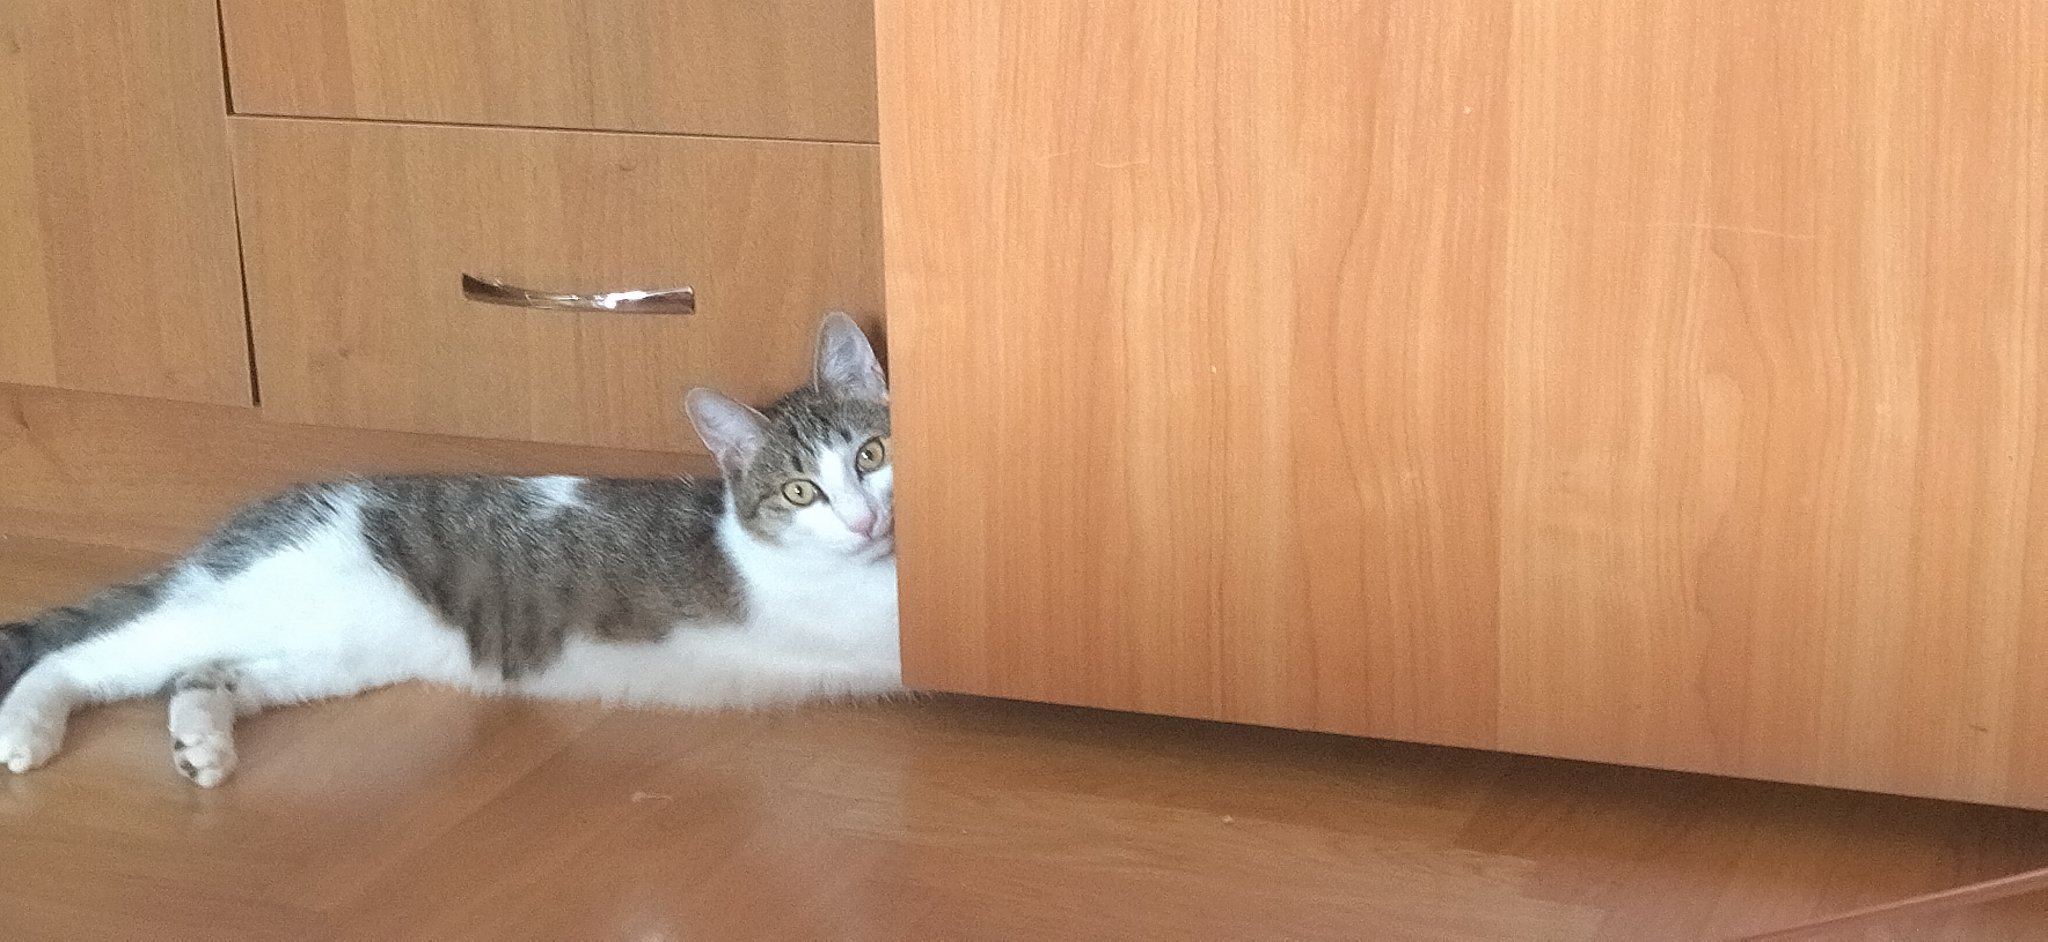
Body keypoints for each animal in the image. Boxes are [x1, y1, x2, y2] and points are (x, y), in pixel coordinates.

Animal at [0, 312, 901, 787]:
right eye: (801, 492)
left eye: (871, 455)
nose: (864, 521)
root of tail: (266, 510)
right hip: (260, 597)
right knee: (91, 652)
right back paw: (30, 727)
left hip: (340, 651)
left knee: (202, 674)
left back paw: (200, 738)